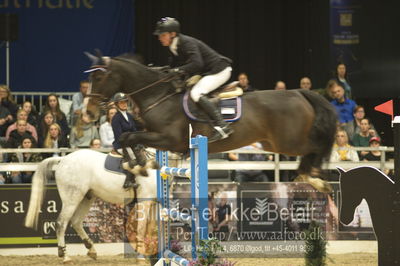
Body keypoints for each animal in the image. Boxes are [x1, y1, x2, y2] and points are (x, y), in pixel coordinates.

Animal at [84, 54, 338, 191]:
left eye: (99, 77)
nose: (88, 112)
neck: (158, 95)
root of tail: (298, 92)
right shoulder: (151, 135)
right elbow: (125, 138)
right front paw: (137, 165)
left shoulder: (169, 140)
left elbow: (129, 137)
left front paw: (138, 166)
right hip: (274, 143)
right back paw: (312, 178)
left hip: (289, 142)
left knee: (315, 148)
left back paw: (316, 180)